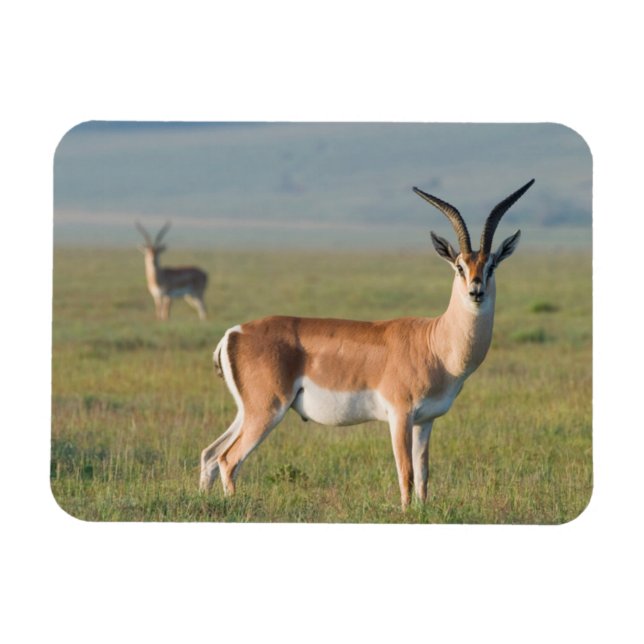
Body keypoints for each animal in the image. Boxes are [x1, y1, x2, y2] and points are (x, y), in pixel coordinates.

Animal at [200, 180, 534, 509]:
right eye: (459, 266)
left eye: (491, 265)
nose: (476, 291)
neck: (435, 344)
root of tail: (234, 333)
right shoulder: (400, 414)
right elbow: (406, 473)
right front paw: (406, 513)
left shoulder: (425, 421)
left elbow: (423, 475)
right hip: (267, 410)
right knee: (229, 459)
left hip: (247, 411)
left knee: (210, 454)